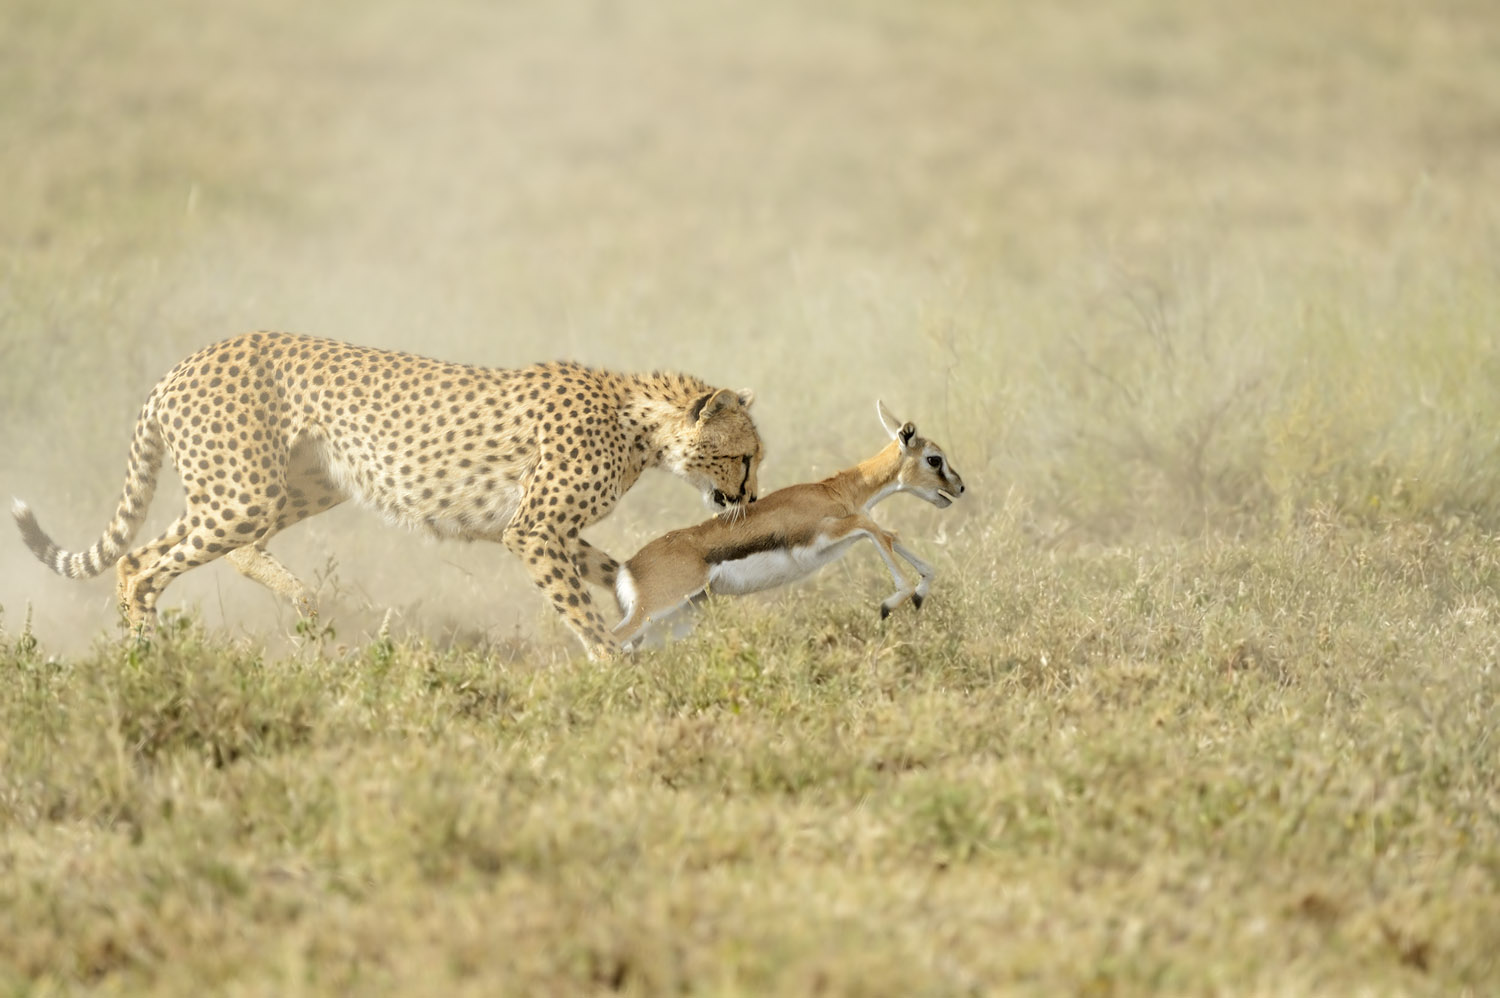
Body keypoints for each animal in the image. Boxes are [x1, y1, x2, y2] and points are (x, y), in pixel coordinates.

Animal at [11, 328, 762, 654]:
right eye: (744, 457)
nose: (750, 500)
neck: (639, 422)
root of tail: (187, 361)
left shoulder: (542, 530)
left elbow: (616, 569)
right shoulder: (532, 530)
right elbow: (581, 608)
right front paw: (617, 667)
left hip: (287, 486)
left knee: (171, 554)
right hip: (243, 494)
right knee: (145, 564)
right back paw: (151, 659)